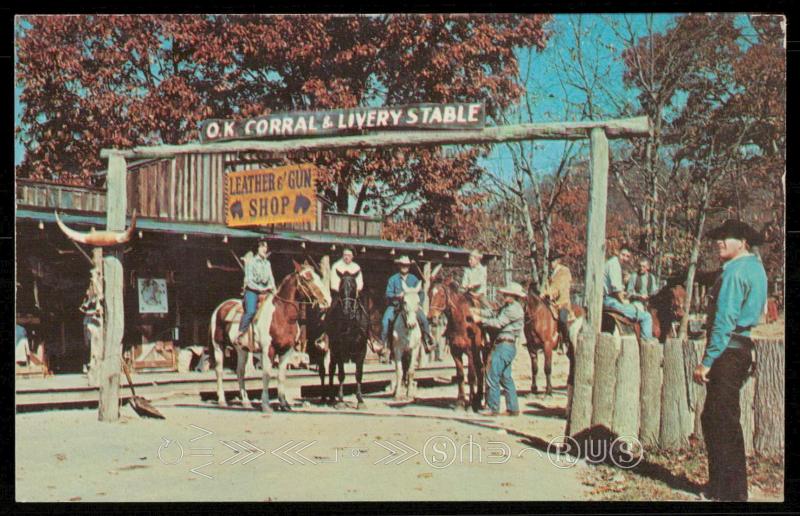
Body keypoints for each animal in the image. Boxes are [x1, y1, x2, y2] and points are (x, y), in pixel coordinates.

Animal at [209, 260, 332, 414]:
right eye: (307, 278)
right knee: (219, 371)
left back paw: (246, 402)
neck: (282, 315)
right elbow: (267, 375)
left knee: (240, 372)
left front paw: (284, 404)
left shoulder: (286, 351)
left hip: (241, 350)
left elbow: (281, 376)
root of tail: (220, 307)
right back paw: (222, 400)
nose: (327, 301)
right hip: (218, 346)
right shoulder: (268, 350)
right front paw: (266, 405)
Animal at [424, 278, 488, 412]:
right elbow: (460, 375)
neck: (462, 321)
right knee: (480, 369)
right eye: (429, 294)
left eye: (442, 295)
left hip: (484, 350)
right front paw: (460, 402)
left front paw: (470, 404)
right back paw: (478, 399)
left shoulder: (470, 352)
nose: (431, 318)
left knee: (483, 369)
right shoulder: (455, 352)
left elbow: (470, 376)